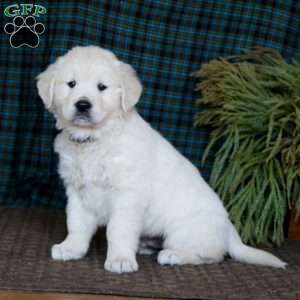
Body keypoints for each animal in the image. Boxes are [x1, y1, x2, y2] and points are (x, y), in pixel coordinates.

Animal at [36, 45, 288, 274]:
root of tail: (229, 228)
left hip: (185, 230)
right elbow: (76, 223)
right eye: (71, 84)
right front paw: (71, 248)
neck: (95, 139)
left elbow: (118, 229)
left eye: (102, 87)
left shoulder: (127, 195)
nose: (83, 104)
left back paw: (173, 255)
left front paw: (119, 259)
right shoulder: (77, 191)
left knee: (211, 254)